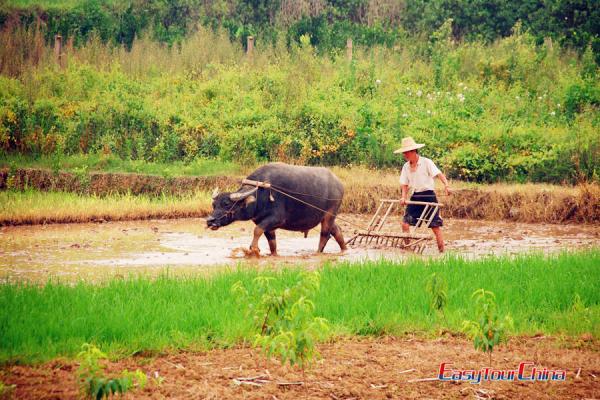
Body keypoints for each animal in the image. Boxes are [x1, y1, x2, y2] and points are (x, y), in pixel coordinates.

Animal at [206, 161, 346, 255]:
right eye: (214, 205)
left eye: (226, 204)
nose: (210, 221)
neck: (260, 195)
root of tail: (339, 184)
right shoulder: (265, 223)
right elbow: (271, 242)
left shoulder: (276, 219)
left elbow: (257, 230)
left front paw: (254, 249)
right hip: (325, 216)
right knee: (337, 230)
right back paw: (345, 249)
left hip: (330, 214)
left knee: (325, 235)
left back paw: (317, 252)